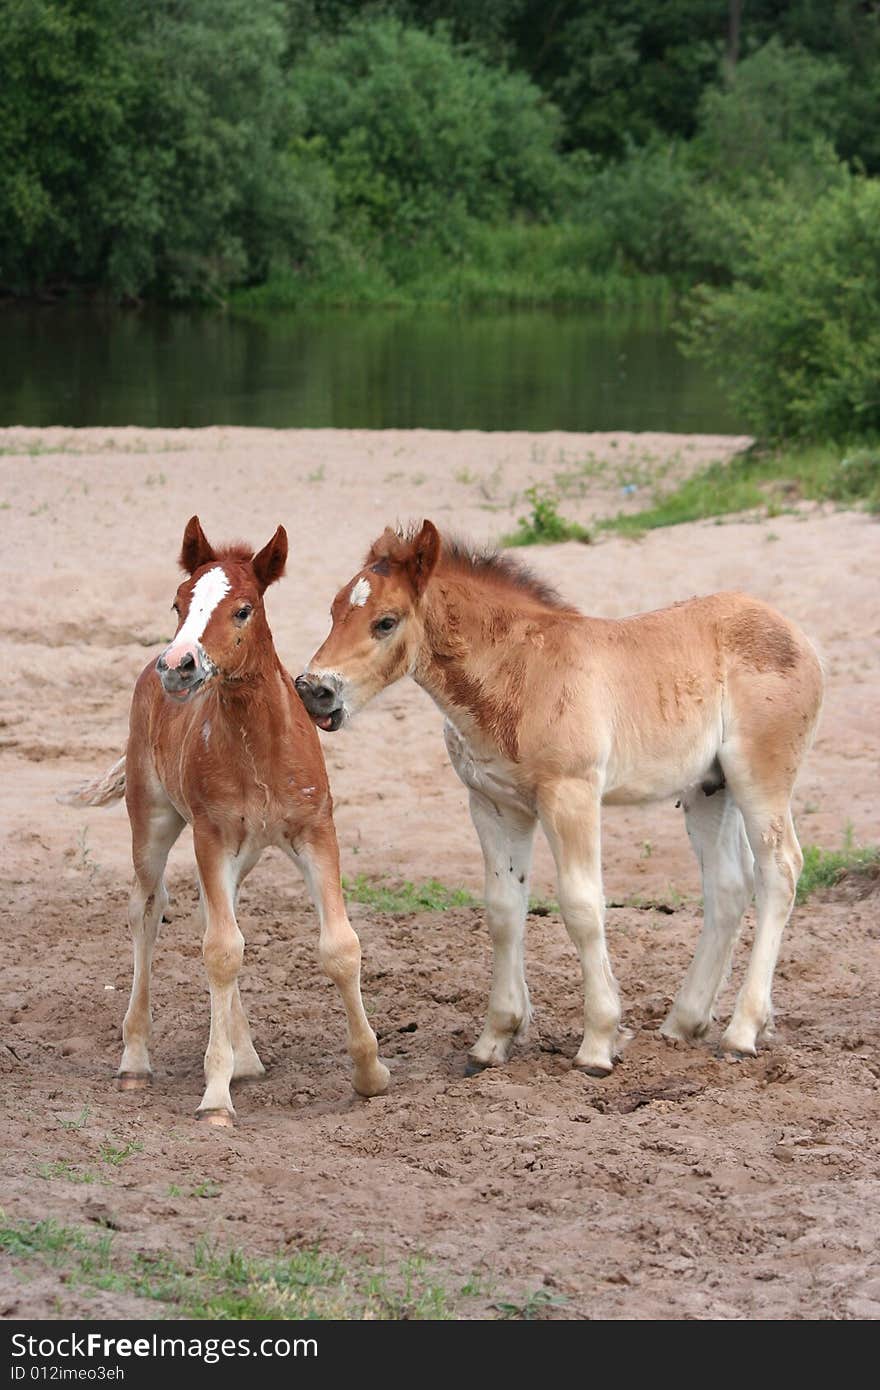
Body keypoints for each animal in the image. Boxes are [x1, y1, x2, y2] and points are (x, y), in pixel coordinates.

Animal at [68, 517, 383, 1123]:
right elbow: (219, 951)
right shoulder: (211, 837)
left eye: (243, 609)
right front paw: (215, 1096)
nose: (178, 665)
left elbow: (339, 945)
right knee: (148, 911)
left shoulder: (315, 832)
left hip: (247, 851)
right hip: (154, 822)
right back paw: (136, 1062)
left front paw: (370, 1074)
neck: (258, 747)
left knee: (216, 920)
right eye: (178, 602)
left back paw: (248, 1060)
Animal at [294, 522, 823, 1073]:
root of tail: (794, 633)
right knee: (727, 885)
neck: (520, 673)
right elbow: (503, 910)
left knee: (780, 871)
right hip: (708, 790)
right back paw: (683, 1023)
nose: (314, 690)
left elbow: (582, 907)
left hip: (759, 777)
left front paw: (599, 1042)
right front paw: (494, 1039)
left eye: (385, 622)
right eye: (334, 611)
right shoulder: (494, 805)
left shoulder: (571, 795)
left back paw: (742, 1031)